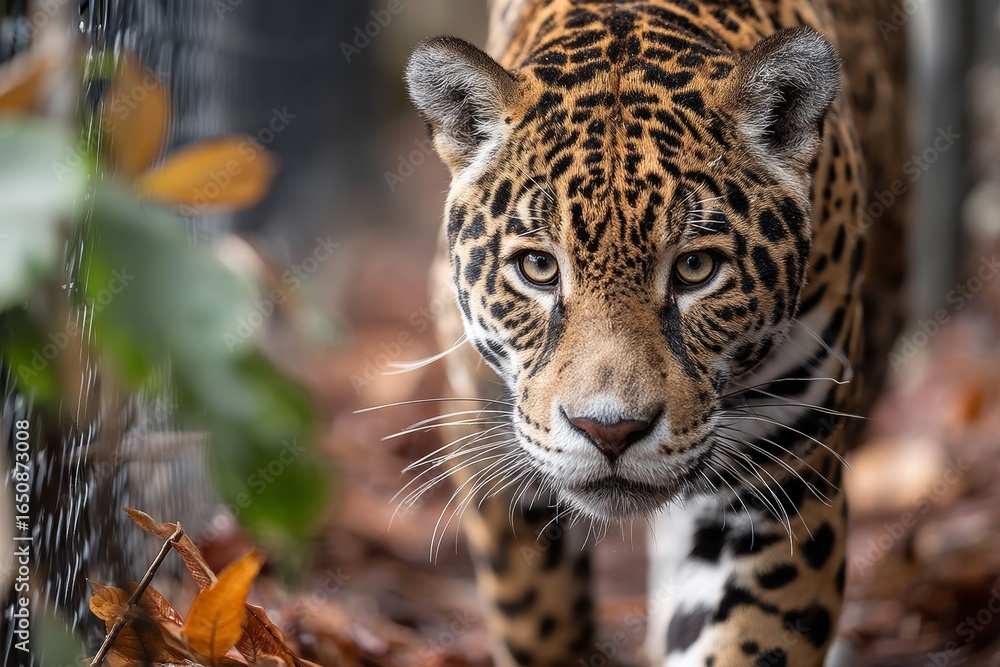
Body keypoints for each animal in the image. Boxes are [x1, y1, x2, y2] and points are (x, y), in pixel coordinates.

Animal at [402, 1, 908, 666]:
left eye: (695, 268)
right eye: (538, 267)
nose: (609, 431)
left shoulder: (785, 485)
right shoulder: (487, 442)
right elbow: (536, 617)